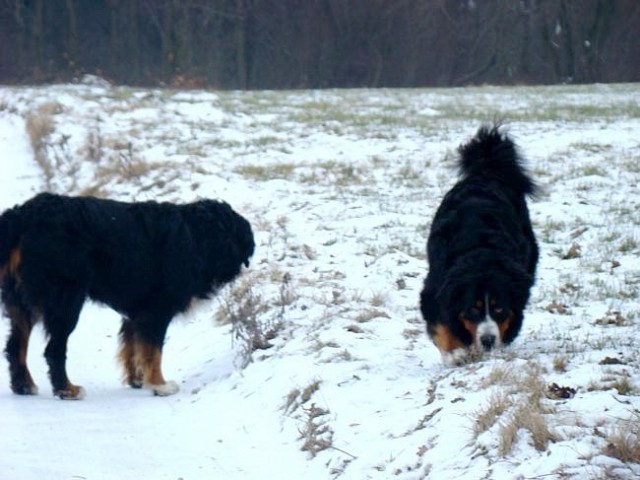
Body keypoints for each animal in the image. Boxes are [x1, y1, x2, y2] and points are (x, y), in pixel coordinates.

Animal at [0, 193, 255, 400]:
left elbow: (134, 347)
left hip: (21, 303)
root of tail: (23, 215)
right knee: (53, 350)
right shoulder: (156, 310)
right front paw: (159, 385)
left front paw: (138, 378)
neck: (195, 237)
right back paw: (67, 390)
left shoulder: (138, 312)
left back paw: (24, 386)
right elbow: (153, 351)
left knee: (15, 346)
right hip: (66, 300)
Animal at [420, 125, 540, 366]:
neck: (481, 251)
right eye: (472, 310)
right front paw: (456, 353)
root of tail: (486, 171)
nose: (487, 340)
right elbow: (441, 324)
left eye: (499, 308)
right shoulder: (435, 288)